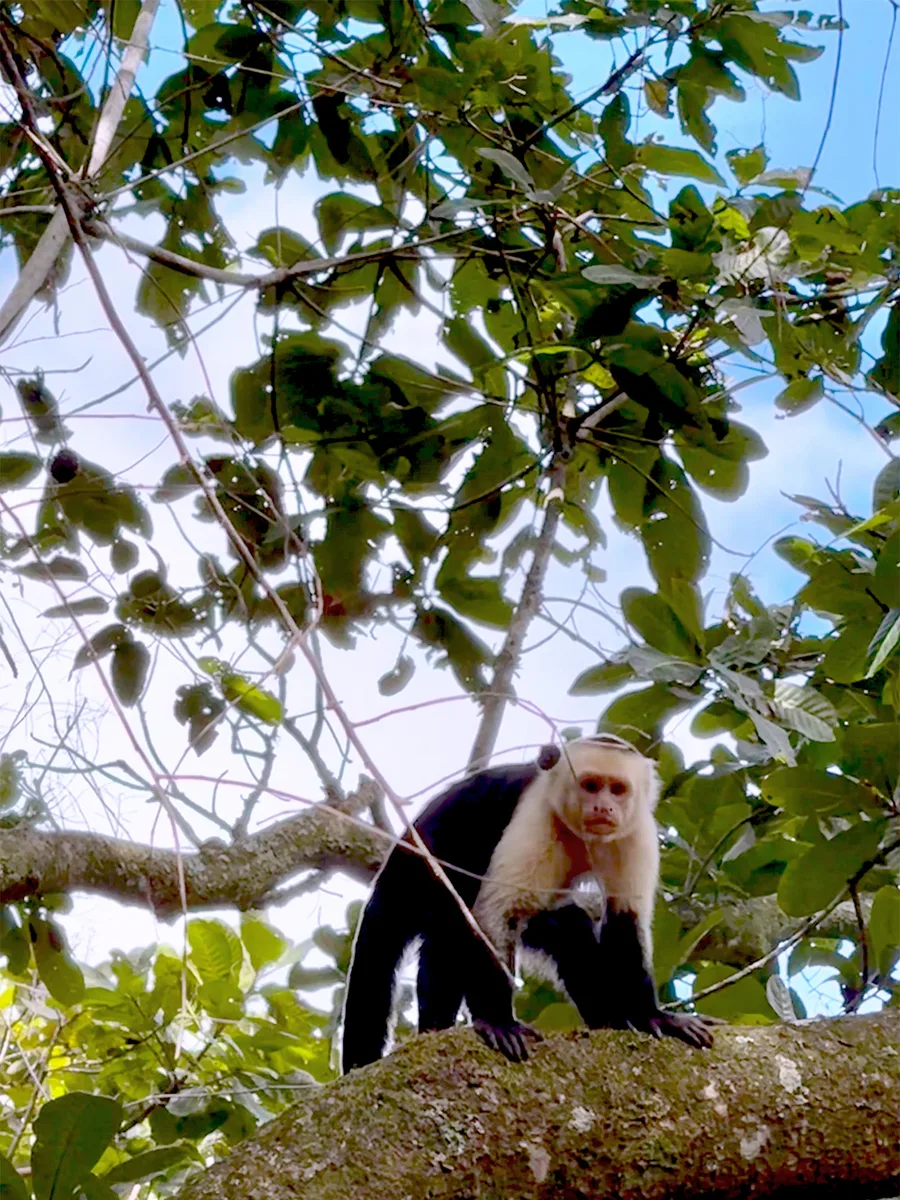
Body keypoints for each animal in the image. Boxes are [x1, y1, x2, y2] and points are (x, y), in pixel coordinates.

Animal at [340, 735, 713, 1072]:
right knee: (446, 933)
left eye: (617, 790)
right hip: (415, 881)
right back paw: (434, 1028)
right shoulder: (536, 815)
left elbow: (626, 917)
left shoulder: (636, 832)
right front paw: (498, 1021)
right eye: (590, 786)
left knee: (568, 929)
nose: (604, 807)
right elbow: (497, 912)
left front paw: (652, 1016)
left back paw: (610, 1019)